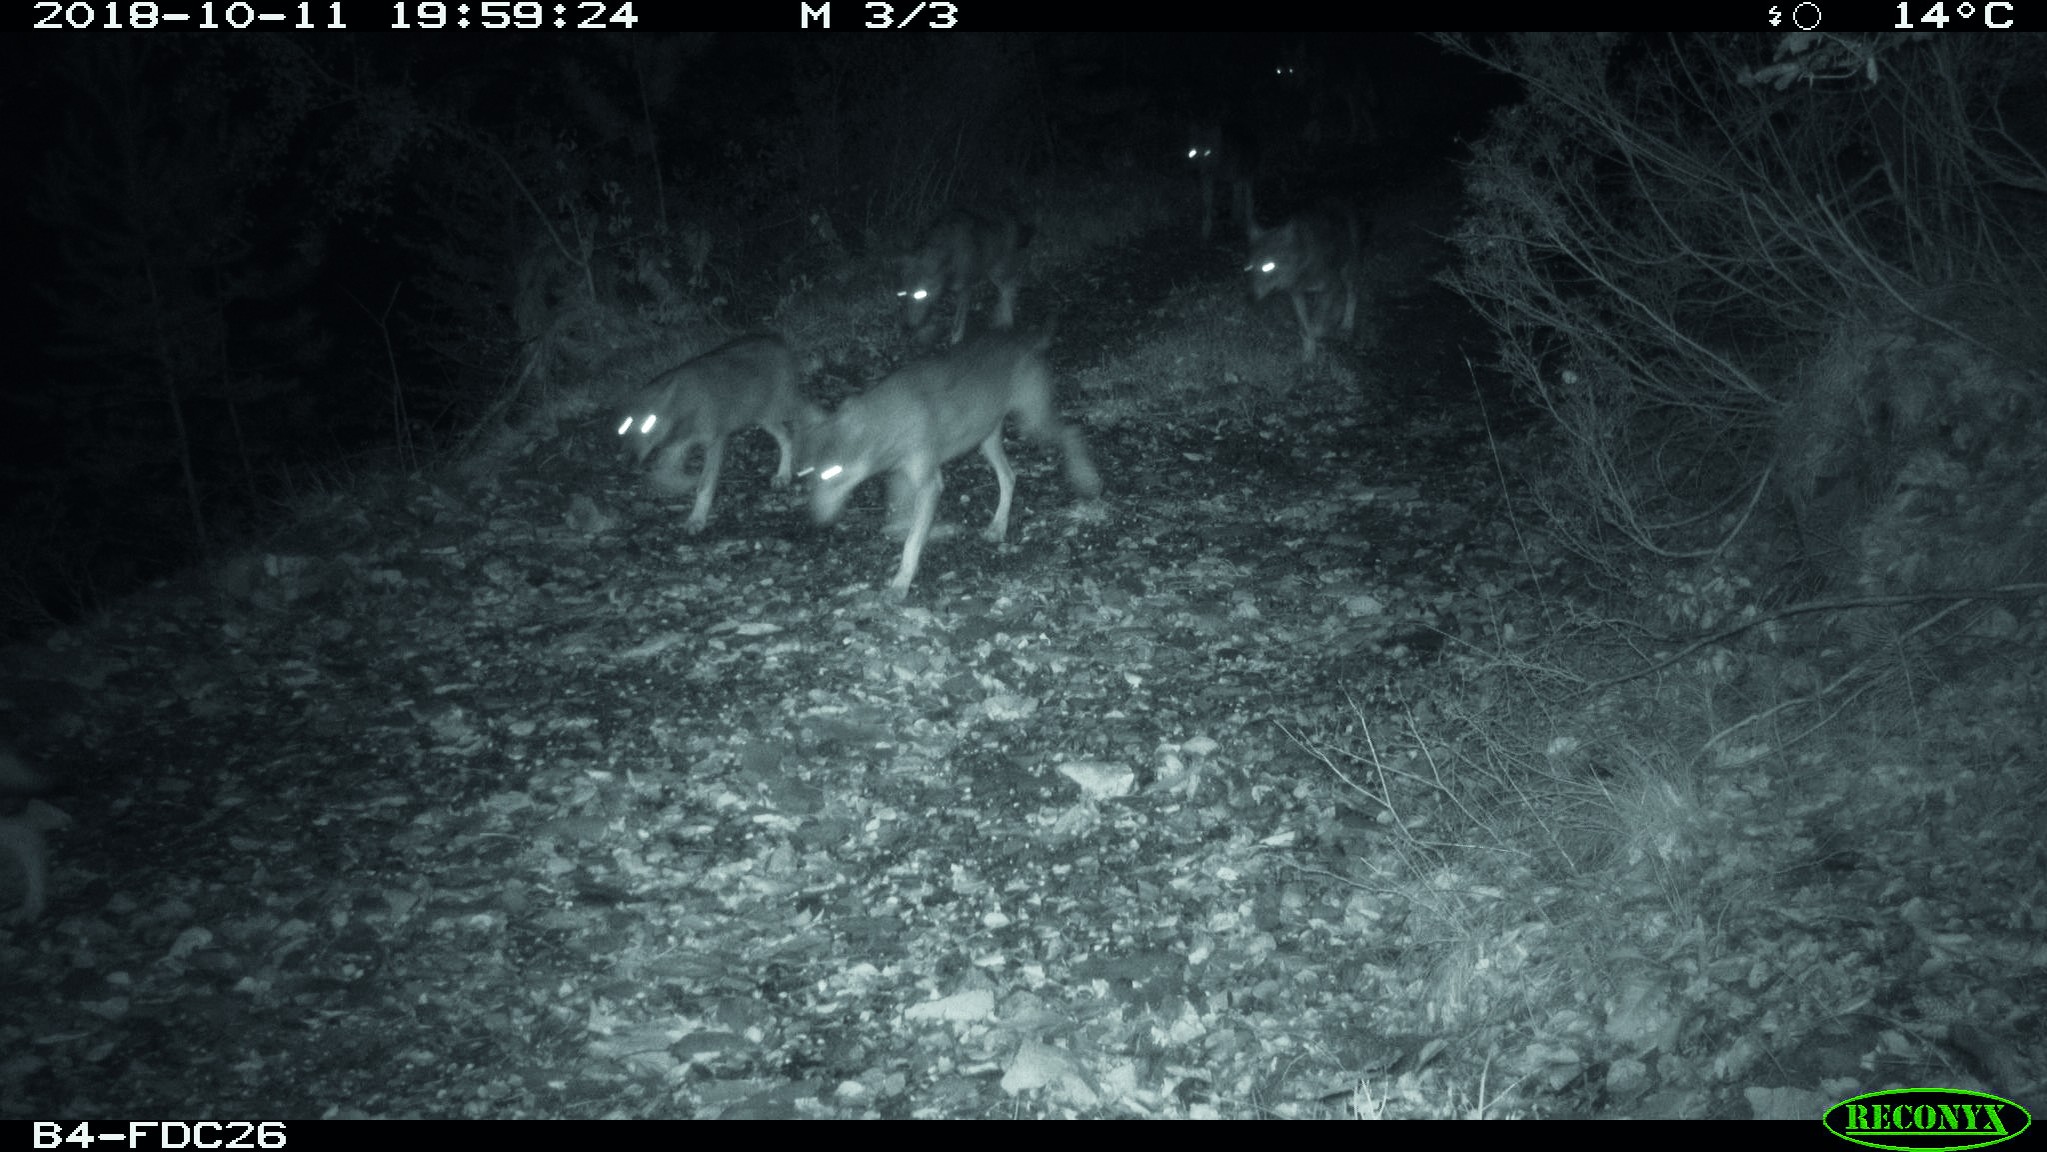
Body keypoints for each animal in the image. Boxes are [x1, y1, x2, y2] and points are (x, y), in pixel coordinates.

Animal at [614, 331, 822, 536]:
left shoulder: (715, 441)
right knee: (787, 436)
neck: (683, 404)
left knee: (813, 415)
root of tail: (777, 338)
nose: (629, 461)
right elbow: (663, 477)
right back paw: (783, 475)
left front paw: (697, 519)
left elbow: (704, 485)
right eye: (624, 427)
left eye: (647, 424)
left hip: (780, 407)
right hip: (763, 416)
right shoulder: (676, 447)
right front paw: (684, 485)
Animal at [806, 327, 1113, 589]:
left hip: (1033, 425)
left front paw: (901, 582)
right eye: (810, 474)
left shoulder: (930, 484)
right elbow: (901, 524)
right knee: (1010, 477)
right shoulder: (900, 476)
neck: (889, 422)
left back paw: (1087, 480)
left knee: (1072, 433)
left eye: (832, 473)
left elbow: (912, 540)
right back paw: (997, 528)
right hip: (986, 441)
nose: (817, 521)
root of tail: (1024, 339)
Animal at [896, 208, 1031, 345]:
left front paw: (955, 339)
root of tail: (1013, 217)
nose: (909, 326)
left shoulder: (964, 289)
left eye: (920, 295)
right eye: (905, 294)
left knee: (1009, 288)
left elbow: (958, 321)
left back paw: (1005, 321)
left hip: (997, 271)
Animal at [1244, 197, 1359, 360]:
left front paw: (1321, 335)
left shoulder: (1332, 286)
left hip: (1347, 271)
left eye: (1268, 266)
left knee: (1352, 295)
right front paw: (1309, 355)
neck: (1304, 264)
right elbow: (1305, 326)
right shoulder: (1296, 293)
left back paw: (1346, 326)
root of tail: (1339, 199)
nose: (1249, 297)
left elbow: (1318, 326)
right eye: (1249, 267)